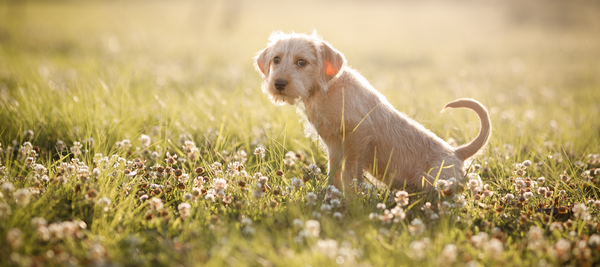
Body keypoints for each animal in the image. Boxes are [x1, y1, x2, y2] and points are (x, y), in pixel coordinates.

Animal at [253, 31, 492, 193]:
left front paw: (350, 196)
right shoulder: (334, 145)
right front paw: (330, 194)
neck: (328, 89)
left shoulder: (358, 137)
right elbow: (334, 171)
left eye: (302, 62)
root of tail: (456, 152)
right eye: (276, 60)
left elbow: (350, 172)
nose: (278, 83)